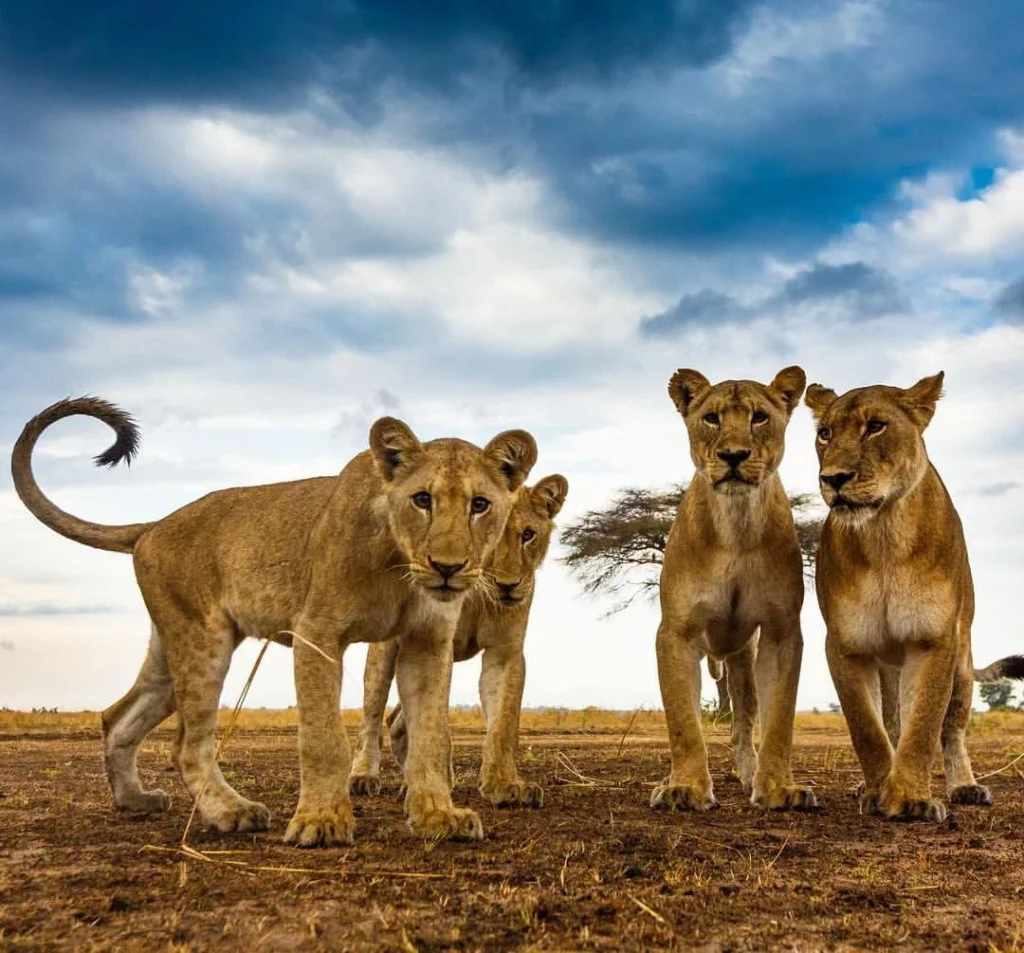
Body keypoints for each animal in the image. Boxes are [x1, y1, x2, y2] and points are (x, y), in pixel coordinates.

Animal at [12, 397, 537, 846]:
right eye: (422, 499)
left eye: (479, 504)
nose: (448, 566)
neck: (399, 564)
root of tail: (155, 524)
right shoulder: (317, 632)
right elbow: (323, 736)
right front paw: (321, 822)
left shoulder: (427, 640)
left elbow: (432, 735)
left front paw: (438, 816)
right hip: (204, 640)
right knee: (186, 743)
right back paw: (232, 812)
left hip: (170, 644)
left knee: (118, 717)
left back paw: (135, 801)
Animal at [349, 474, 568, 808]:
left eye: (528, 534)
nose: (507, 586)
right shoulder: (437, 642)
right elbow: (438, 723)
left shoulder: (506, 651)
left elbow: (503, 724)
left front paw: (504, 784)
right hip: (384, 651)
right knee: (372, 715)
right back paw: (363, 776)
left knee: (397, 720)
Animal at [651, 367, 817, 813]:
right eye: (712, 418)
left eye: (759, 417)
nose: (734, 455)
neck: (736, 526)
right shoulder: (676, 633)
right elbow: (683, 723)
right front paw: (685, 788)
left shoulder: (780, 632)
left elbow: (779, 720)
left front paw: (777, 788)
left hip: (744, 658)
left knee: (743, 722)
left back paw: (748, 774)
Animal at [806, 372, 1024, 821]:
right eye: (825, 433)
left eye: (876, 427)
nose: (834, 478)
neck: (884, 533)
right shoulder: (846, 645)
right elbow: (867, 727)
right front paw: (880, 792)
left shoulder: (934, 640)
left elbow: (923, 726)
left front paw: (909, 799)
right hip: (887, 666)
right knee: (890, 720)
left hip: (962, 664)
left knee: (952, 729)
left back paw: (965, 786)